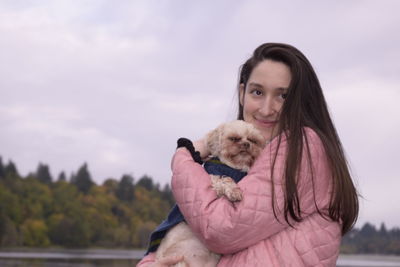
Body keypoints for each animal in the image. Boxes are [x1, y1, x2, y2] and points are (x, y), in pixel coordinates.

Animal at [155, 121, 266, 267]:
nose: (247, 144)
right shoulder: (213, 178)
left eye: (253, 140)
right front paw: (235, 191)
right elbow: (225, 179)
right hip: (178, 262)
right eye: (234, 138)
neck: (235, 168)